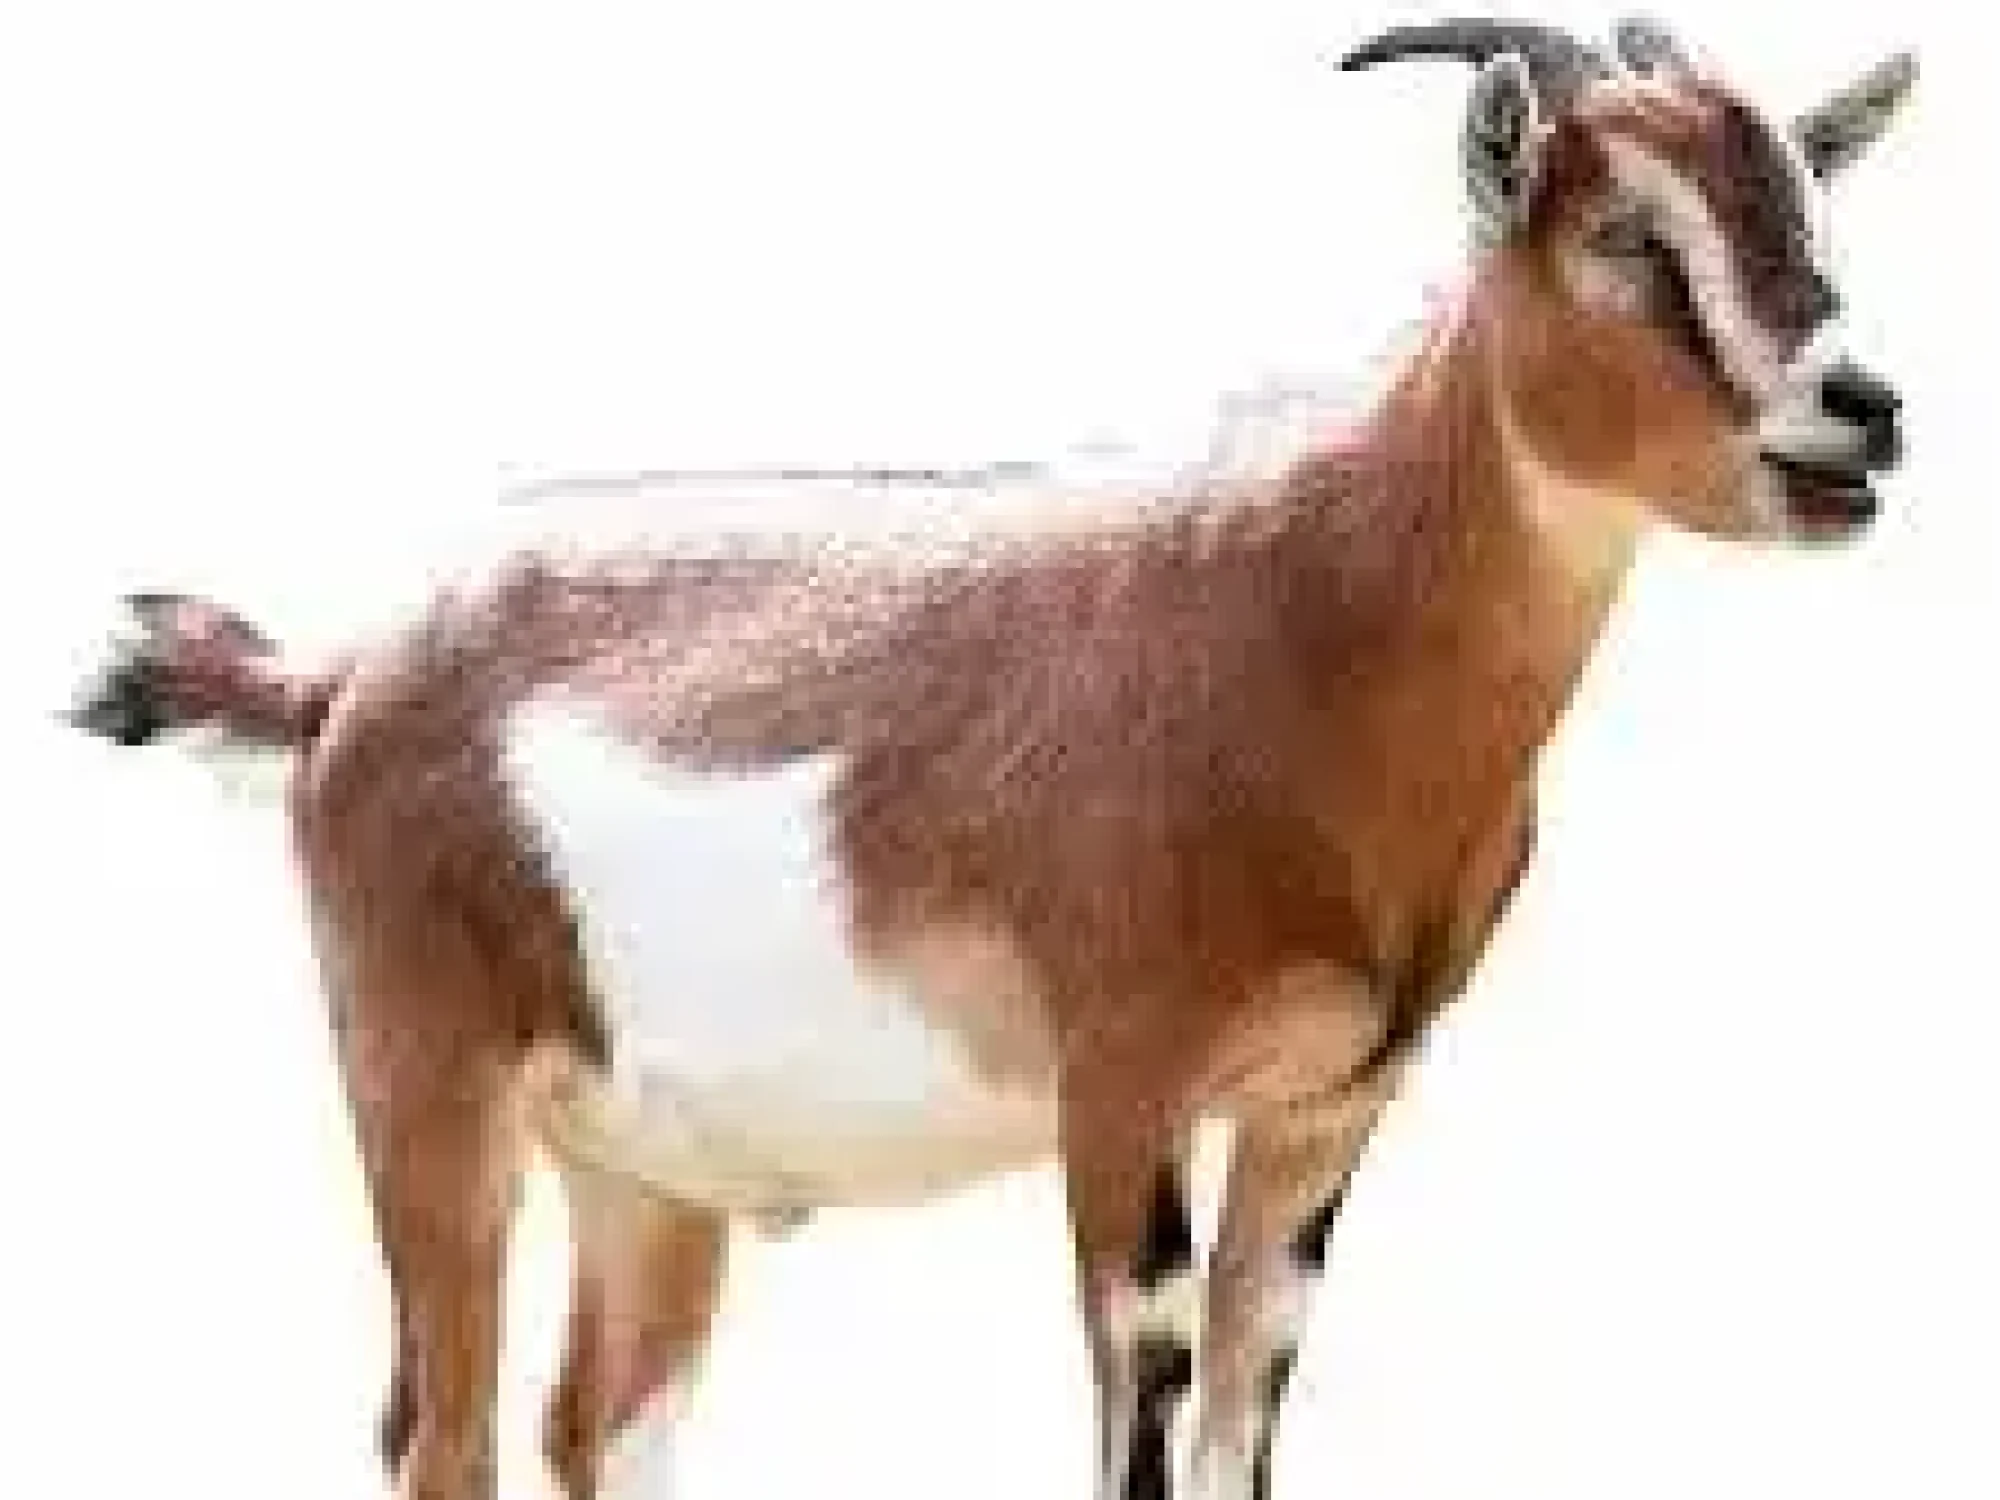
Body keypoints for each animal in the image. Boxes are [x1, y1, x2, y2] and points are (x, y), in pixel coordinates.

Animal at [65, 16, 1915, 1500]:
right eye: (1627, 233)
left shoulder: (1324, 1111)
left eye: (1802, 206)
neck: (1300, 616)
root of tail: (345, 677)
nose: (1863, 412)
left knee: (595, 1427)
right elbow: (1148, 1412)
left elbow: (1248, 1421)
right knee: (435, 1434)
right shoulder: (1124, 1094)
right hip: (428, 1091)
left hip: (640, 1173)